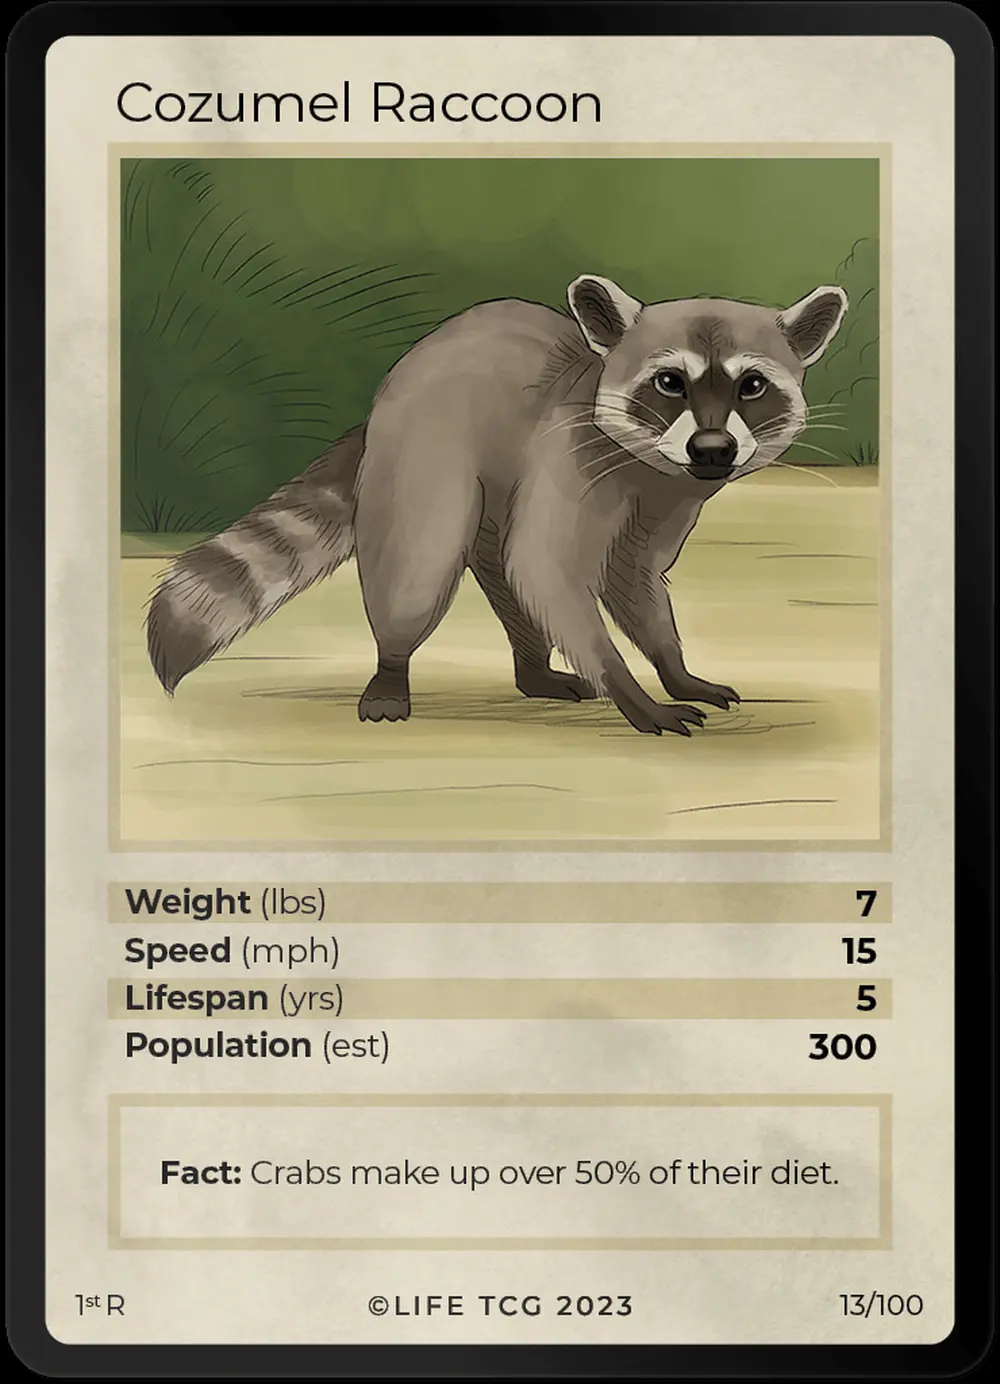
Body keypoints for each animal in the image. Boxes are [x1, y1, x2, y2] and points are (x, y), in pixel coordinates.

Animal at [146, 276, 847, 735]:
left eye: (751, 385)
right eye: (670, 382)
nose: (712, 449)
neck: (654, 466)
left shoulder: (669, 493)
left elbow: (633, 577)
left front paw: (673, 667)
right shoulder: (572, 455)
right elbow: (549, 570)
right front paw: (628, 688)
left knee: (501, 569)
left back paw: (534, 669)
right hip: (424, 453)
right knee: (420, 569)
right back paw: (392, 668)